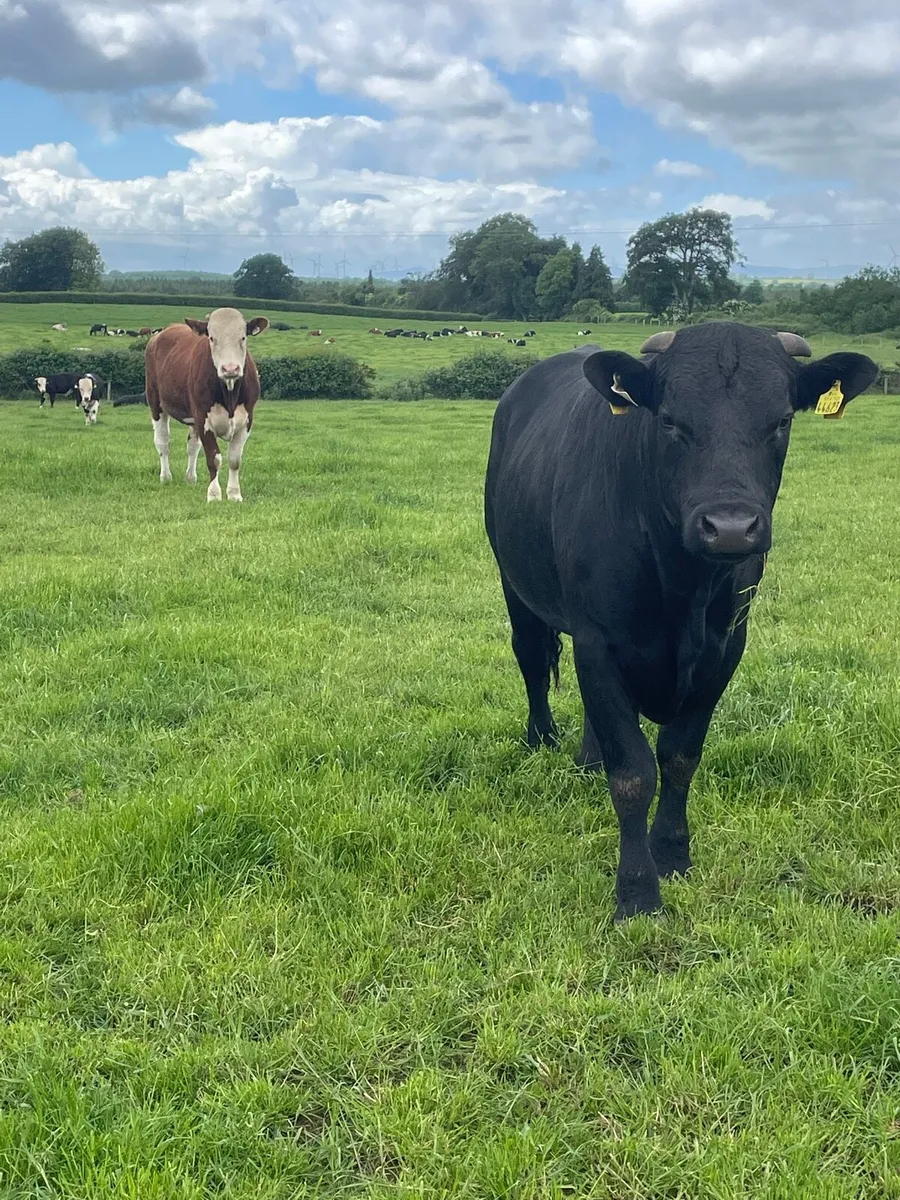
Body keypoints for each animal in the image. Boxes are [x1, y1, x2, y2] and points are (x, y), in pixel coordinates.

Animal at [144, 307, 269, 503]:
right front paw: (214, 495)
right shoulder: (203, 419)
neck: (229, 393)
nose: (230, 369)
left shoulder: (247, 421)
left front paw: (234, 494)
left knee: (192, 446)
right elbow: (213, 459)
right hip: (156, 403)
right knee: (163, 441)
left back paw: (190, 478)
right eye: (211, 338)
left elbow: (234, 459)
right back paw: (165, 477)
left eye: (243, 337)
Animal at [484, 322, 878, 922]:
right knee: (531, 657)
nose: (731, 527)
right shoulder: (600, 642)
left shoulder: (725, 646)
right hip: (514, 580)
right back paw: (541, 738)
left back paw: (587, 757)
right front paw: (637, 893)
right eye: (669, 420)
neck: (682, 588)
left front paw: (671, 853)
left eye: (782, 421)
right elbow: (632, 773)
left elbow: (678, 757)